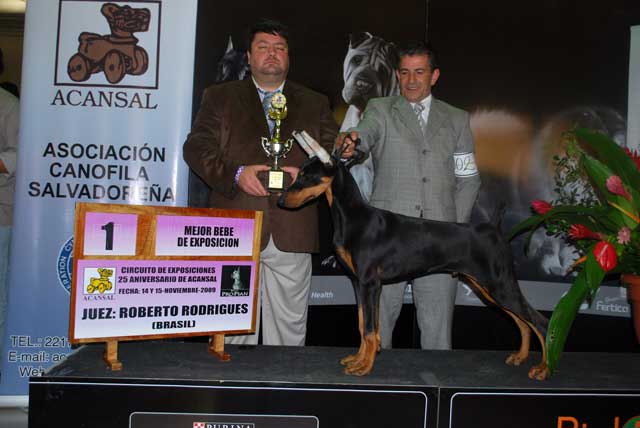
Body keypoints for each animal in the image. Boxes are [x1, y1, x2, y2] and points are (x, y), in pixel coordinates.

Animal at [279, 133, 550, 380]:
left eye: (305, 176)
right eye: (299, 173)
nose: (280, 201)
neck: (352, 217)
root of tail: (494, 229)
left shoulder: (370, 283)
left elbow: (370, 329)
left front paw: (364, 367)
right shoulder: (358, 283)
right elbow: (362, 323)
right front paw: (357, 359)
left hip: (499, 284)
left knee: (538, 321)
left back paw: (543, 369)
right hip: (488, 288)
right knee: (522, 322)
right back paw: (520, 357)